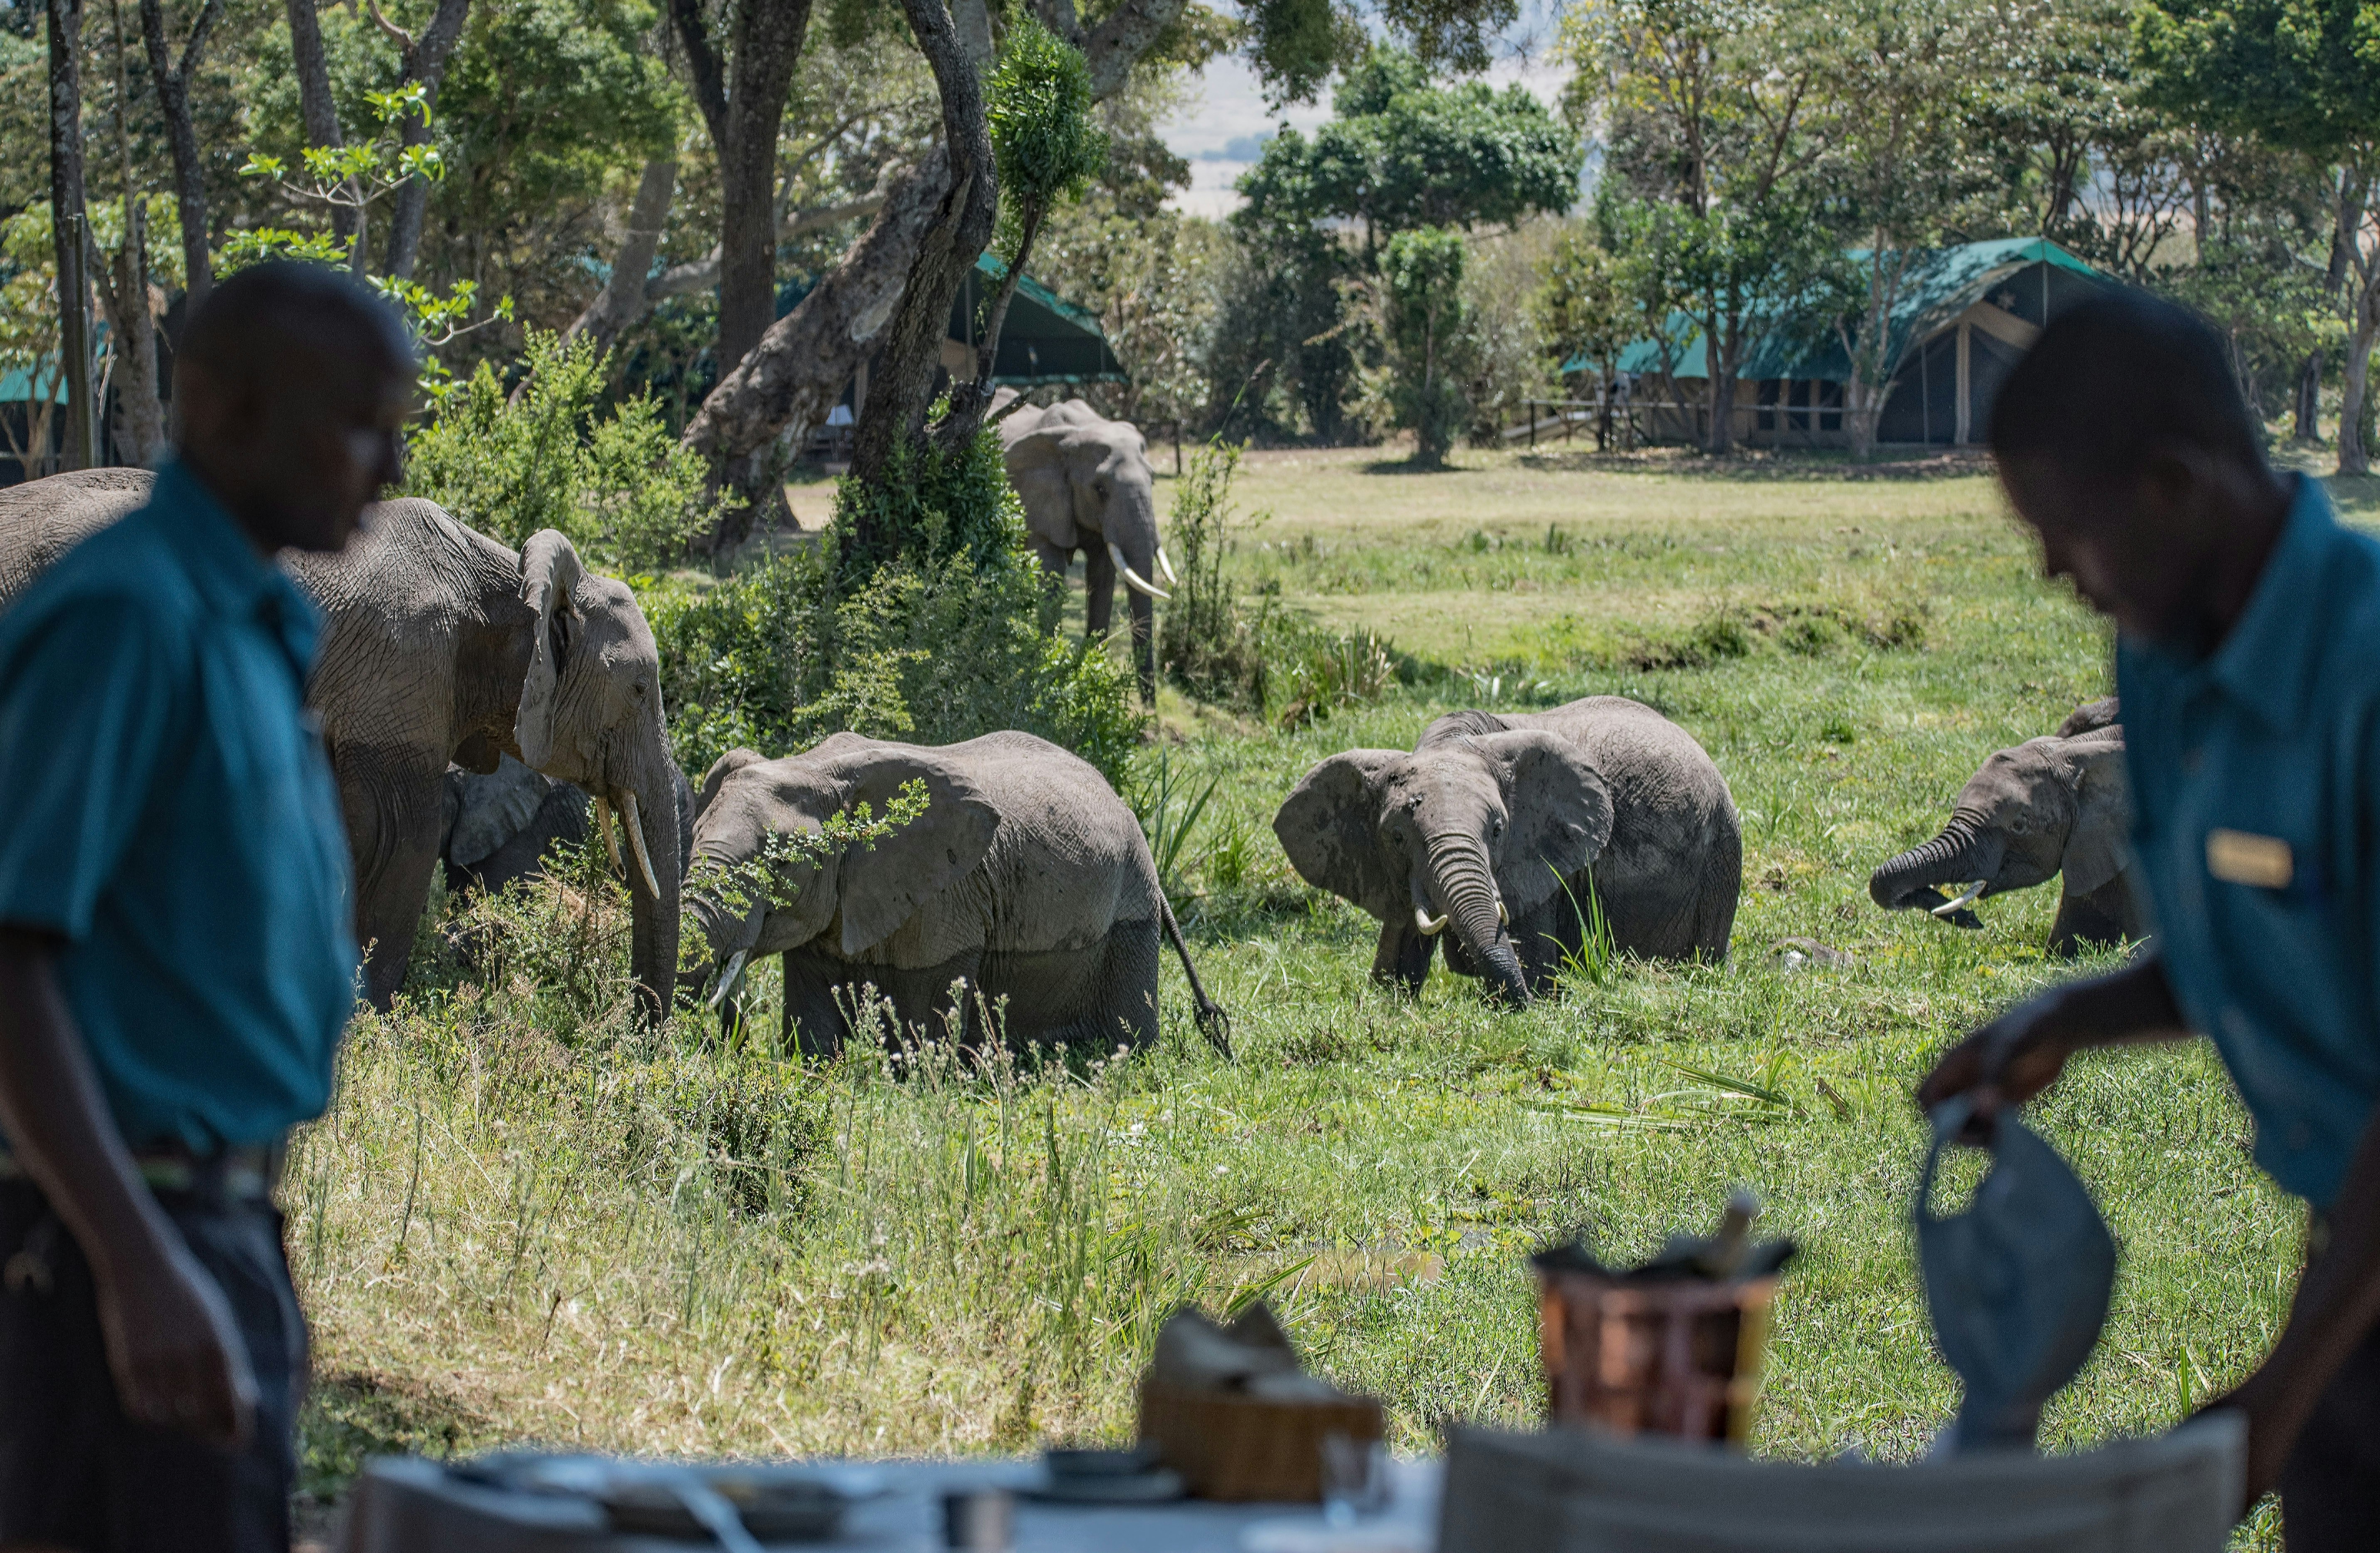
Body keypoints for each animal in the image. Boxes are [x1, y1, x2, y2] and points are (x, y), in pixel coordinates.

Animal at [0, 468, 690, 1018]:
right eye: (638, 690)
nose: (637, 1033)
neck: (508, 581)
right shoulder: (400, 677)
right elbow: (399, 841)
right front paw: (369, 1027)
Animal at [676, 727, 1219, 1056]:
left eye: (782, 864)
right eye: (694, 839)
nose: (730, 1037)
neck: (810, 767)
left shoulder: (948, 896)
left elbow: (927, 1019)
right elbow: (813, 1023)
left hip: (1132, 900)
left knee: (1128, 1031)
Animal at [995, 397, 1171, 694]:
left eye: (1153, 480)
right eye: (1100, 490)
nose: (1149, 705)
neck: (1076, 433)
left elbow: (1102, 578)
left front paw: (1090, 674)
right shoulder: (1039, 501)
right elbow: (1051, 574)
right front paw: (1045, 672)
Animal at [1276, 694, 1742, 1003]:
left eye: (1498, 831)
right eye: (1396, 838)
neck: (1455, 741)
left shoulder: (1539, 860)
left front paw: (1527, 998)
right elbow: (1398, 947)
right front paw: (1388, 998)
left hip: (1721, 854)